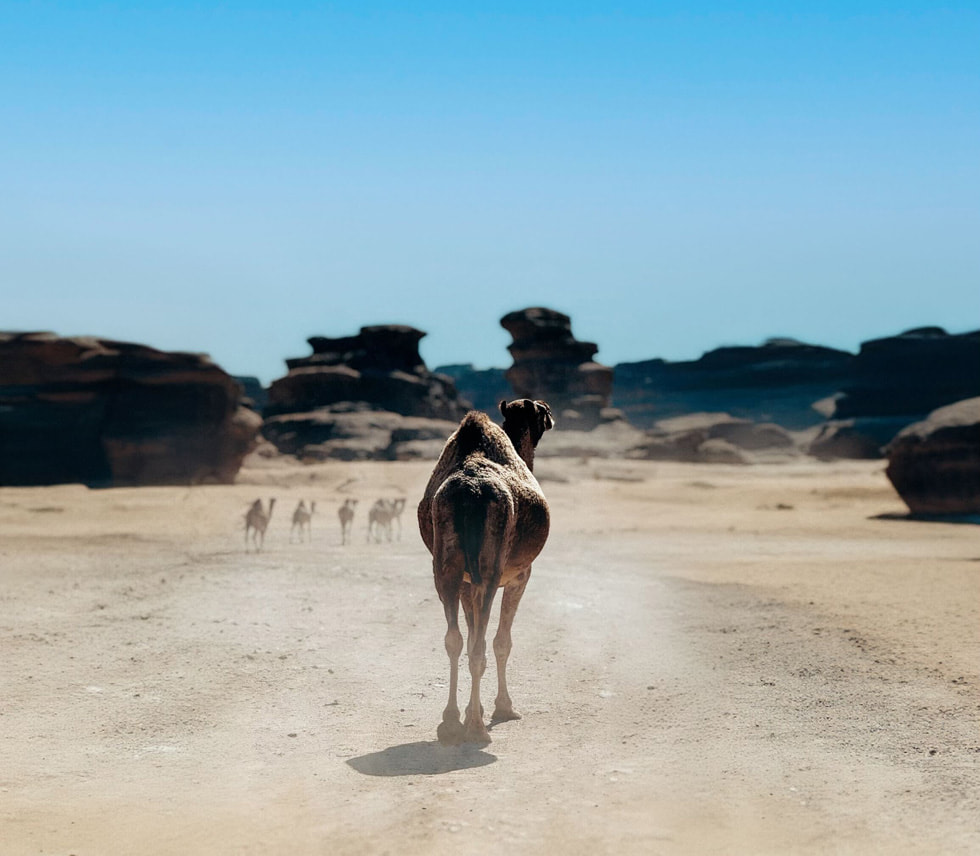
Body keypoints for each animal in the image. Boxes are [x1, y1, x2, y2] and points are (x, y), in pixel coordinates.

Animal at [418, 398, 556, 744]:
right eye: (542, 411)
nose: (551, 415)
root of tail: (470, 491)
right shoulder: (520, 575)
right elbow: (501, 642)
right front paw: (503, 708)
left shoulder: (468, 583)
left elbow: (468, 638)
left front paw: (473, 710)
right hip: (490, 569)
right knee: (480, 644)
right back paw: (478, 730)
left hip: (447, 567)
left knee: (454, 639)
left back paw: (451, 721)